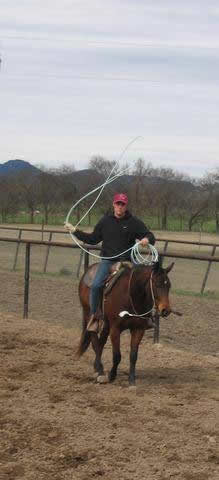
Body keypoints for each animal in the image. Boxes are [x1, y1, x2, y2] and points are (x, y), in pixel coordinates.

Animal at [76, 258, 174, 386]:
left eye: (169, 286)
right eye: (157, 284)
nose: (166, 310)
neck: (131, 295)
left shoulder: (138, 329)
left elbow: (133, 356)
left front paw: (131, 381)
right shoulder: (115, 329)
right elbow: (117, 355)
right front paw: (112, 376)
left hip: (106, 324)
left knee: (101, 342)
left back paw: (97, 368)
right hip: (89, 313)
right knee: (94, 340)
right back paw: (101, 372)